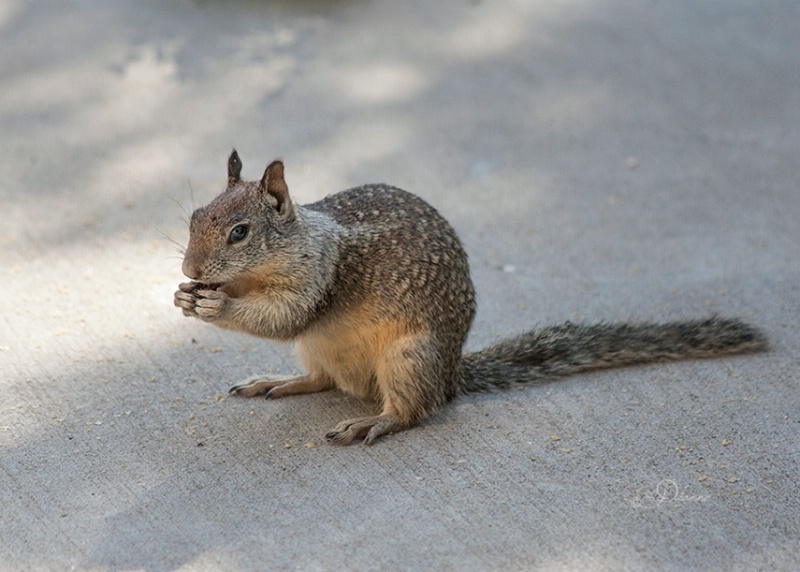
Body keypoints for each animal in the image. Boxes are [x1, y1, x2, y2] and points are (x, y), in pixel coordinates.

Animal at [175, 150, 768, 444]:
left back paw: (374, 421)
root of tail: (452, 373)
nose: (188, 268)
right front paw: (187, 295)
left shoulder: (319, 277)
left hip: (410, 357)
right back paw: (277, 381)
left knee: (411, 409)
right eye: (195, 216)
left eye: (240, 232)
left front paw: (216, 304)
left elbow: (286, 316)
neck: (299, 242)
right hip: (325, 350)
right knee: (324, 379)